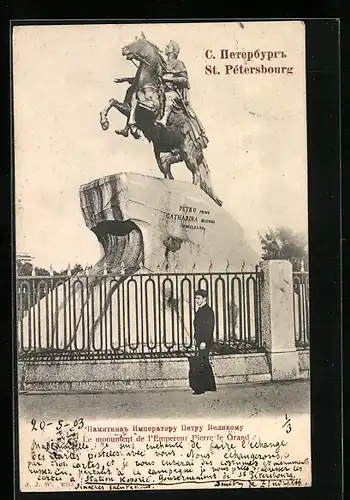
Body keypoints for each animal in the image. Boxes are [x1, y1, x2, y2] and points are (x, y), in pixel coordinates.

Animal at [100, 33, 223, 206]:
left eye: (139, 43)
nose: (124, 49)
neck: (146, 83)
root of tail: (200, 147)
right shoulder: (127, 108)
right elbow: (116, 102)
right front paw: (108, 123)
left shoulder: (151, 109)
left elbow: (136, 102)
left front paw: (133, 128)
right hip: (166, 158)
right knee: (169, 174)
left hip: (189, 155)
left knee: (197, 176)